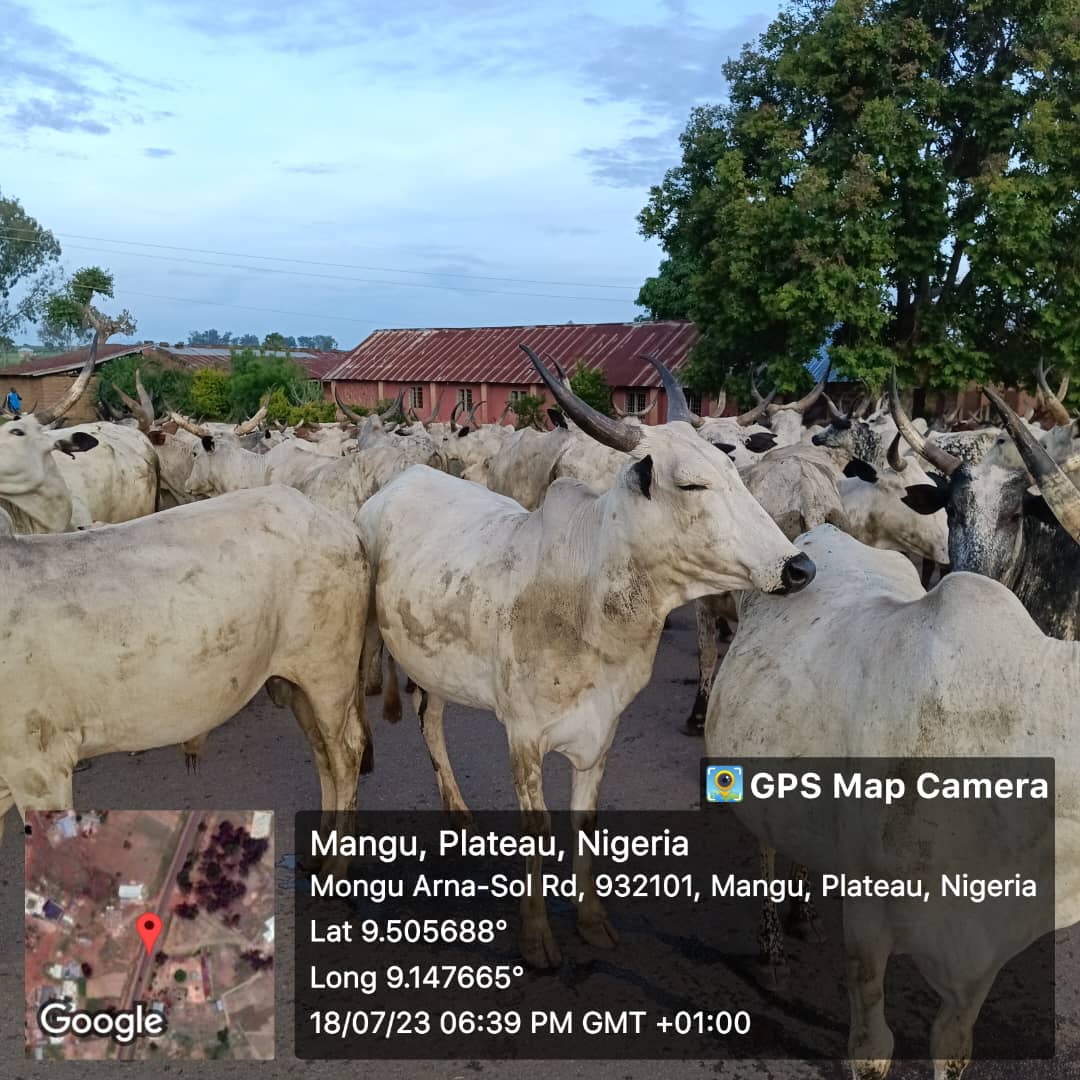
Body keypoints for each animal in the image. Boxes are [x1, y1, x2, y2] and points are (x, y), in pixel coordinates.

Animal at [358, 347, 812, 972]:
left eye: (736, 473)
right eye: (692, 484)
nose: (798, 568)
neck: (589, 603)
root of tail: (397, 484)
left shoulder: (601, 730)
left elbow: (585, 818)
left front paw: (592, 920)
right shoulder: (523, 735)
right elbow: (537, 824)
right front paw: (536, 937)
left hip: (436, 666)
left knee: (431, 721)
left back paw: (458, 813)